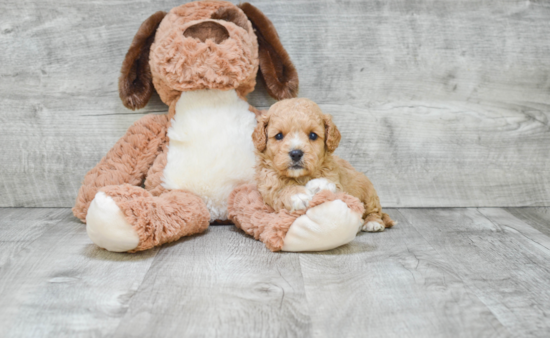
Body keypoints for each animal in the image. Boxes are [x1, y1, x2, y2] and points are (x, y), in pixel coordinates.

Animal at [254, 96, 396, 231]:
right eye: (279, 136)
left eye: (313, 135)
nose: (296, 153)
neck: (300, 176)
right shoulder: (267, 181)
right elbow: (279, 188)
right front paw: (298, 195)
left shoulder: (337, 182)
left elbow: (333, 187)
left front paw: (320, 184)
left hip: (368, 192)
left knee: (374, 210)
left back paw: (373, 222)